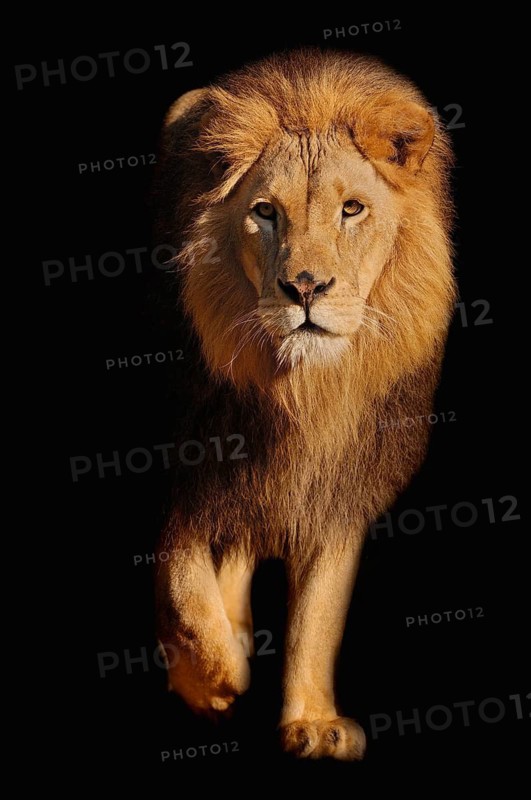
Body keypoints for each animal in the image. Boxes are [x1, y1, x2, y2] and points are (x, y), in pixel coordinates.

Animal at [152, 48, 455, 761]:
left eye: (353, 209)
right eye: (264, 211)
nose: (306, 288)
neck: (298, 392)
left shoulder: (335, 489)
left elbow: (317, 617)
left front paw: (312, 720)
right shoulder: (182, 470)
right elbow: (179, 573)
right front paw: (213, 677)